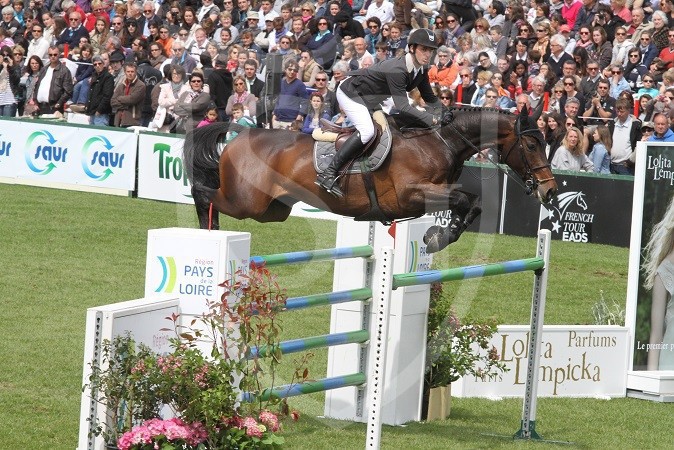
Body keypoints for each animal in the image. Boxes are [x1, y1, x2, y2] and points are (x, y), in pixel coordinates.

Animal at [182, 106, 556, 253]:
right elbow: (465, 200)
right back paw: (206, 231)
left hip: (274, 209)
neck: (440, 144)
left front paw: (441, 236)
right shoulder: (411, 195)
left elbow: (473, 204)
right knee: (203, 192)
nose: (550, 191)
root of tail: (239, 135)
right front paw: (440, 236)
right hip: (249, 202)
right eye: (532, 145)